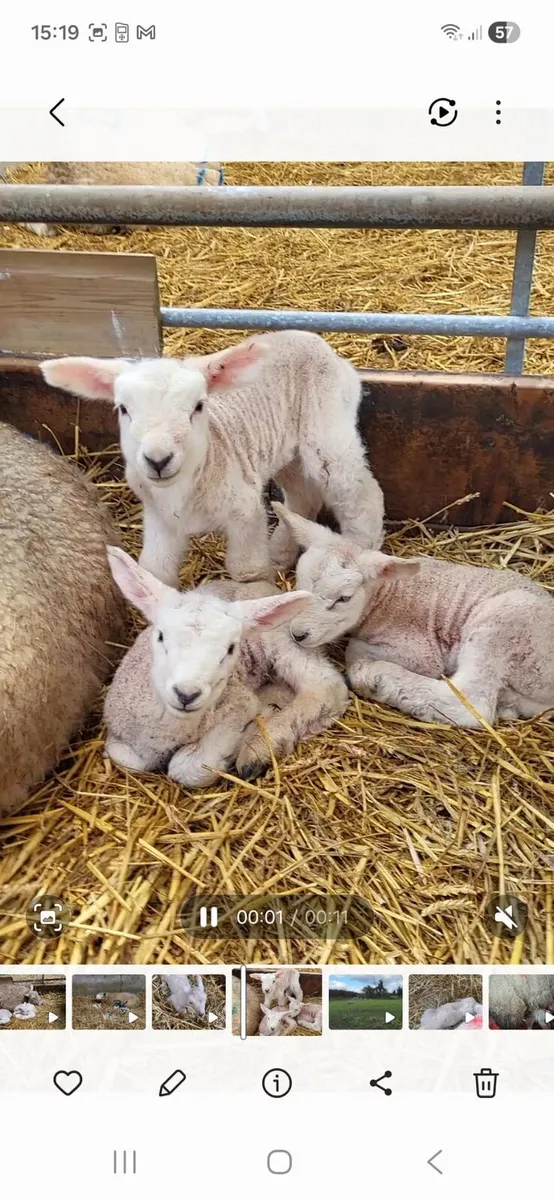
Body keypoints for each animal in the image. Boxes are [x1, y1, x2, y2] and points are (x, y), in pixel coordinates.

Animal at [40, 331, 385, 588]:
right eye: (123, 408)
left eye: (198, 406)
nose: (158, 459)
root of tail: (315, 339)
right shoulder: (160, 518)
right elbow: (156, 570)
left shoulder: (245, 509)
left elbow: (246, 570)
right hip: (288, 452)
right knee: (304, 498)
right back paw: (280, 554)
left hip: (329, 430)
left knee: (361, 494)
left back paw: (357, 555)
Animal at [104, 547, 348, 784]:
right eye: (161, 635)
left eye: (231, 648)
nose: (186, 694)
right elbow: (128, 760)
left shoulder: (239, 704)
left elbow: (187, 768)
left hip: (283, 640)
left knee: (326, 687)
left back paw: (259, 747)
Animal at [274, 504, 554, 729]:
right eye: (298, 583)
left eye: (344, 598)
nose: (297, 634)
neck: (388, 596)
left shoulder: (421, 651)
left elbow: (355, 650)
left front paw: (364, 664)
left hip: (503, 628)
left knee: (472, 703)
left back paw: (378, 678)